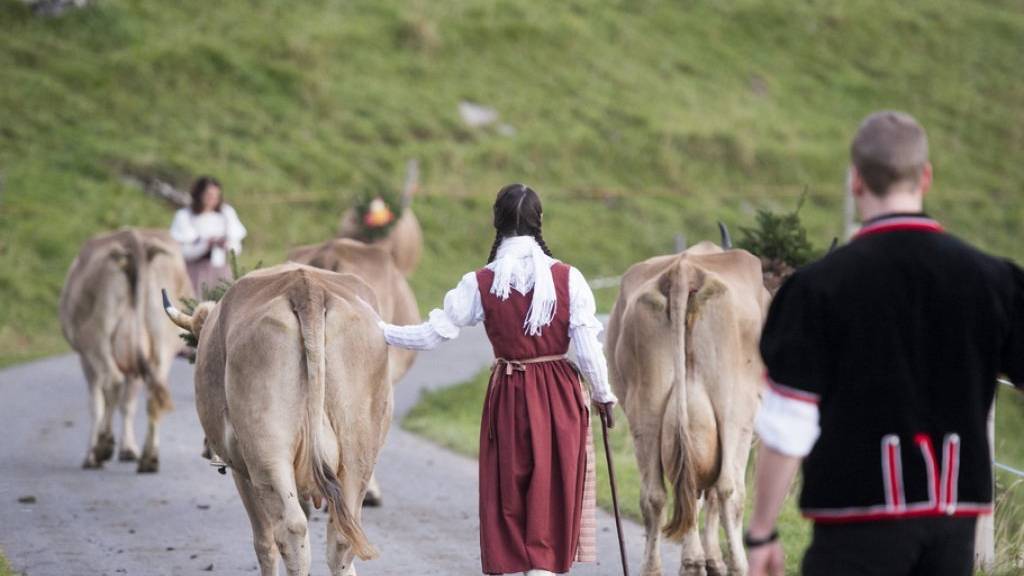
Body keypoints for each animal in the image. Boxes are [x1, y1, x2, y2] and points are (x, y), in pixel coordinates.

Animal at [59, 227, 193, 471]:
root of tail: (133, 238)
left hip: (96, 336)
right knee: (154, 392)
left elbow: (97, 403)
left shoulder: (85, 358)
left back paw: (102, 447)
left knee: (112, 382)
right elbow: (128, 404)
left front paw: (92, 454)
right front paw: (129, 449)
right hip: (162, 341)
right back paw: (149, 458)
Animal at [165, 261, 389, 573]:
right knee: (343, 536)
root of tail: (305, 286)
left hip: (267, 454)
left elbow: (264, 542)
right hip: (359, 453)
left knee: (291, 530)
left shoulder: (242, 472)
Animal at [606, 231, 770, 573]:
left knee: (655, 495)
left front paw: (695, 560)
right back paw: (739, 565)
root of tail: (685, 270)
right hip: (735, 410)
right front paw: (710, 560)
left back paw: (652, 568)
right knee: (727, 490)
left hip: (646, 408)